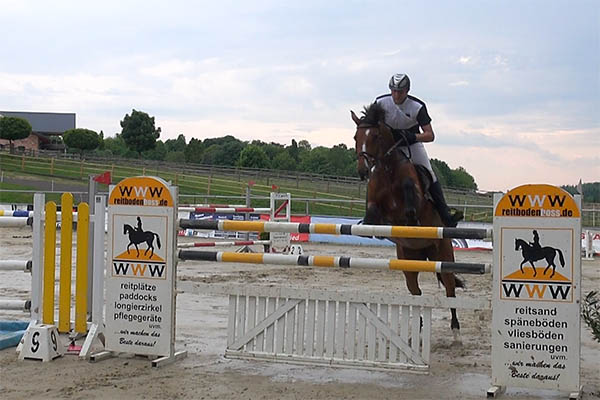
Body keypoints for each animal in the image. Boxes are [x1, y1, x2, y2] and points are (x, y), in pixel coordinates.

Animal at [352, 102, 464, 338]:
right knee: (416, 292)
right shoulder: (375, 204)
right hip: (409, 261)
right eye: (356, 137)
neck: (387, 169)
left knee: (450, 290)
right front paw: (376, 229)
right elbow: (374, 214)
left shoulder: (415, 201)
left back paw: (456, 330)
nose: (363, 170)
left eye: (375, 136)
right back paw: (418, 327)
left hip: (443, 256)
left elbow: (410, 202)